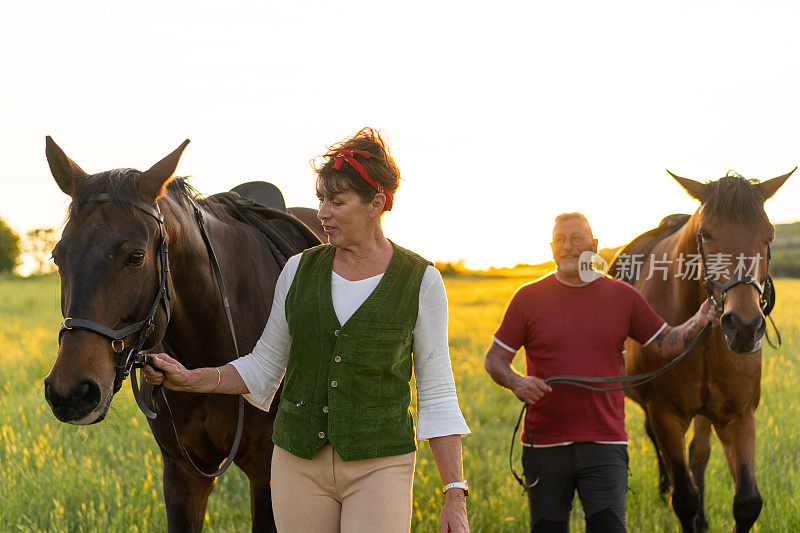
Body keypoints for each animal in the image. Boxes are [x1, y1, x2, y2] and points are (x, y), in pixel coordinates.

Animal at [43, 138, 318, 532]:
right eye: (57, 256)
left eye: (136, 257)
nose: (71, 392)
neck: (213, 353)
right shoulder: (182, 474)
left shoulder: (268, 473)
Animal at [620, 170, 792, 532]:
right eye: (705, 234)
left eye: (769, 236)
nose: (743, 326)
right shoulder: (665, 413)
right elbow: (684, 498)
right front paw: (682, 501)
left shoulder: (739, 415)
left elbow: (747, 502)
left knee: (698, 453)